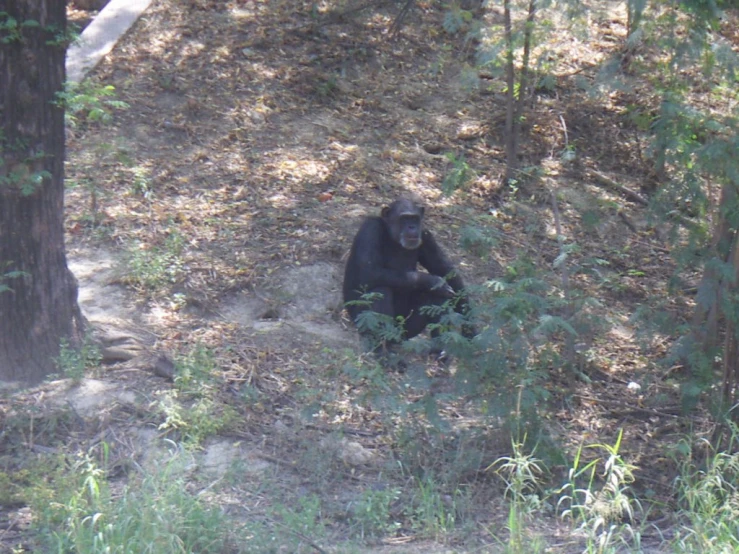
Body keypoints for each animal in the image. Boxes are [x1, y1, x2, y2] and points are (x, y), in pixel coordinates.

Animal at [342, 196, 474, 364]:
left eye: (415, 218)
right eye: (404, 218)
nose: (412, 226)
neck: (393, 237)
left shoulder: (426, 234)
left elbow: (445, 269)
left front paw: (470, 329)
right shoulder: (370, 229)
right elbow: (369, 271)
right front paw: (433, 281)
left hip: (405, 332)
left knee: (437, 299)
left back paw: (439, 351)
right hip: (362, 322)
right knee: (380, 290)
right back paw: (383, 351)